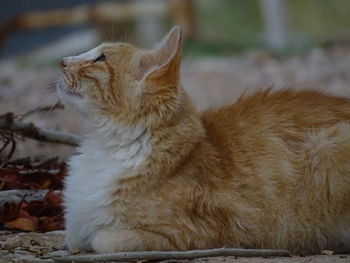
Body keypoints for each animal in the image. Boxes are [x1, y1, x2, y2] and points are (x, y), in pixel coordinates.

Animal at [57, 27, 350, 256]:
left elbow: (103, 238)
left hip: (328, 147)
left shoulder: (202, 233)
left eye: (100, 58)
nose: (61, 61)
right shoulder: (73, 230)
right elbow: (74, 235)